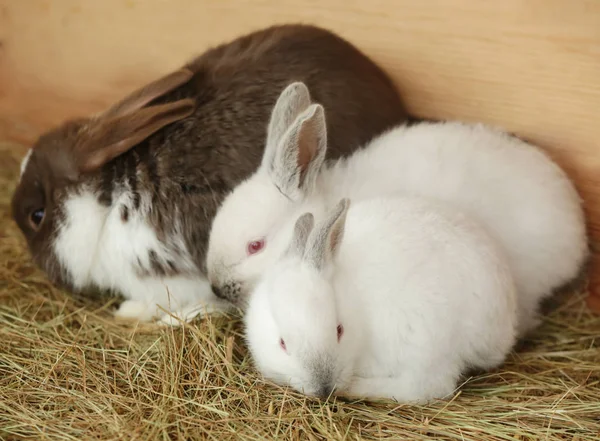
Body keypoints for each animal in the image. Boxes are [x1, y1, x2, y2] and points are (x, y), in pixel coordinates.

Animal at [246, 197, 516, 402]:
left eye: (339, 330)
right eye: (282, 343)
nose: (324, 388)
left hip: (427, 341)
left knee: (426, 387)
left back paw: (356, 388)